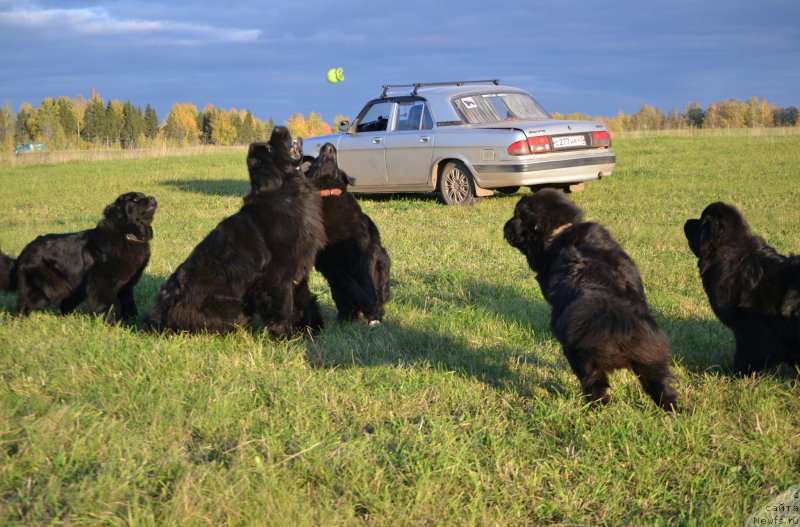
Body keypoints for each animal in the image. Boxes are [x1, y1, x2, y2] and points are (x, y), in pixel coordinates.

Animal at [0, 192, 158, 324]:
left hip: (75, 288)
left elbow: (128, 304)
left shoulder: (125, 286)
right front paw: (112, 323)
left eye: (144, 195)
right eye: (135, 200)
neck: (127, 235)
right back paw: (18, 321)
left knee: (65, 304)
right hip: (42, 292)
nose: (152, 198)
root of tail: (23, 253)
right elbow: (110, 304)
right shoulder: (101, 281)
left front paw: (130, 321)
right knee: (24, 302)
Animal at [145, 126, 326, 336]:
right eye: (270, 148)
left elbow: (304, 301)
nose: (278, 128)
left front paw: (311, 329)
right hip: (234, 308)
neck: (287, 191)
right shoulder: (278, 274)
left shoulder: (300, 268)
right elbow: (283, 307)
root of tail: (159, 315)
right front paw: (285, 337)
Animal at [304, 144, 390, 326]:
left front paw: (373, 313)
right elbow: (353, 287)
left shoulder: (366, 254)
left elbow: (367, 286)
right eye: (314, 161)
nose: (328, 146)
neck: (329, 190)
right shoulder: (331, 265)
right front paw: (369, 309)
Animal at [504, 190, 680, 412]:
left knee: (597, 386)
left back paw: (593, 408)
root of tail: (618, 321)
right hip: (651, 360)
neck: (561, 230)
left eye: (517, 217)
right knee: (662, 386)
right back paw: (674, 410)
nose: (505, 226)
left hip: (581, 358)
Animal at [680, 200, 800, 374]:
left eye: (701, 221)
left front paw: (737, 374)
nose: (687, 221)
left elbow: (745, 354)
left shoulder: (749, 329)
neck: (730, 252)